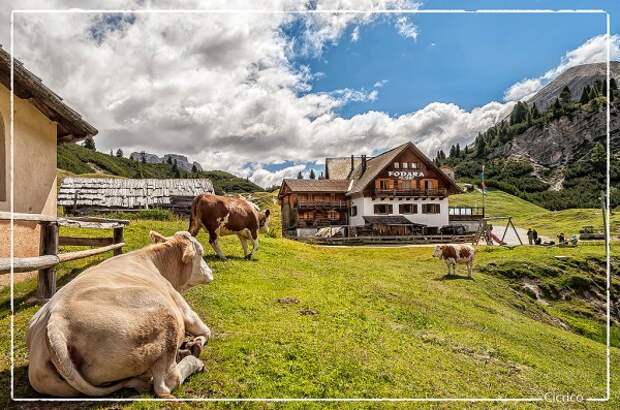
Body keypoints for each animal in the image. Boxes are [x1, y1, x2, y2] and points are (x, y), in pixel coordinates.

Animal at [26, 231, 213, 398]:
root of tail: (55, 322)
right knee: (166, 383)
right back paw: (193, 361)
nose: (211, 272)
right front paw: (196, 342)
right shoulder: (181, 306)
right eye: (201, 253)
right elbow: (205, 330)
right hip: (167, 319)